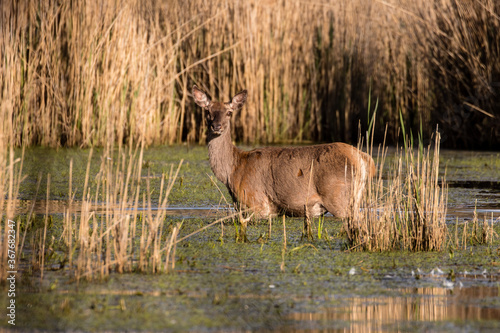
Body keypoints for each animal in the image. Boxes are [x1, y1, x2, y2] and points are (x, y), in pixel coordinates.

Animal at [191, 85, 376, 240]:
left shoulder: (257, 203)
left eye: (229, 112)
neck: (233, 171)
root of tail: (363, 157)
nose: (217, 126)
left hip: (340, 198)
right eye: (207, 111)